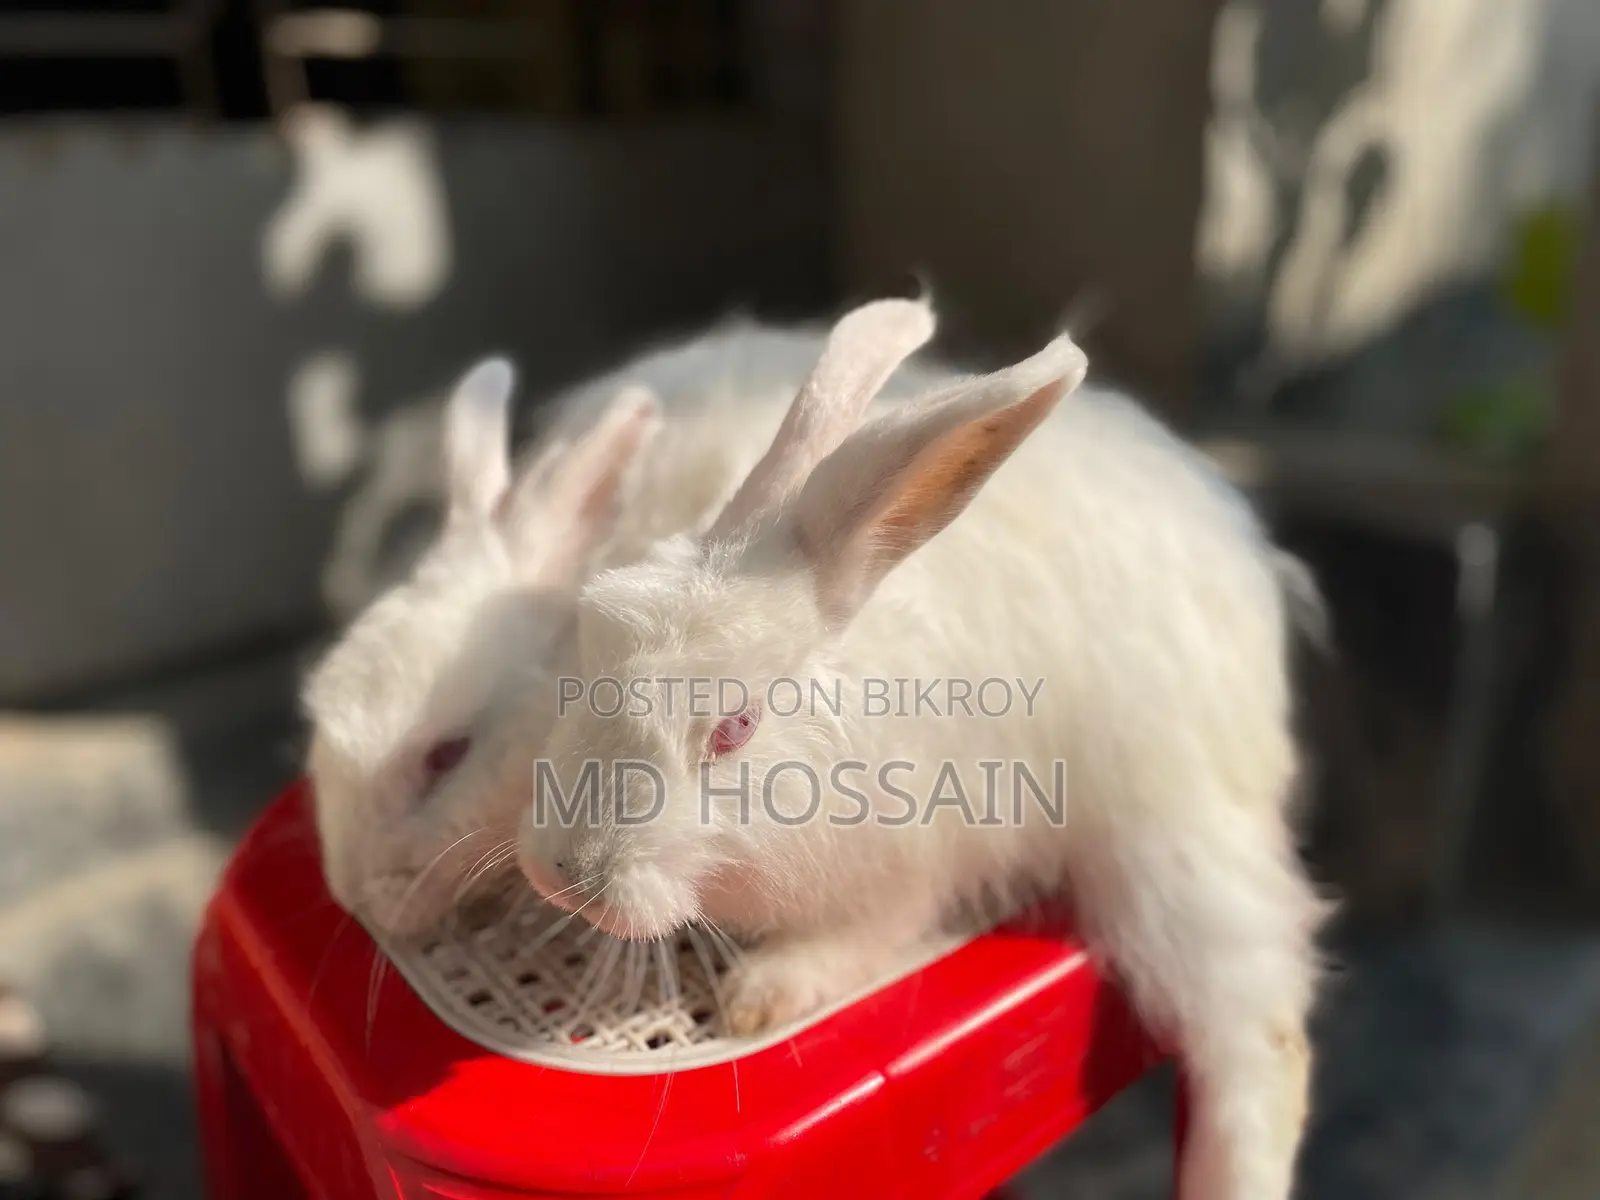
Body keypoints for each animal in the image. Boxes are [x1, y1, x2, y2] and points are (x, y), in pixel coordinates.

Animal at [519, 297, 1326, 1200]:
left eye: (733, 729)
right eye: (589, 648)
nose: (560, 874)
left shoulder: (914, 861)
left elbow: (869, 932)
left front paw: (765, 992)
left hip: (1175, 830)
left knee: (1261, 1037)